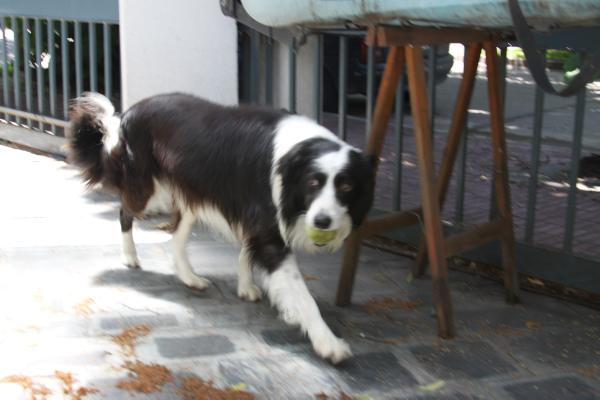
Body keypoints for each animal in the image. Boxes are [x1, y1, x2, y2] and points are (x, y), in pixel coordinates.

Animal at [68, 93, 372, 362]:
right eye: (313, 182)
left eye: (346, 186)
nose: (323, 222)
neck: (295, 157)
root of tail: (129, 113)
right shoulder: (269, 231)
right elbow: (302, 295)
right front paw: (328, 343)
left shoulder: (254, 221)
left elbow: (247, 252)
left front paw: (245, 287)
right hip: (148, 190)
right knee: (124, 211)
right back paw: (129, 256)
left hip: (190, 194)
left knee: (176, 238)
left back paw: (190, 278)